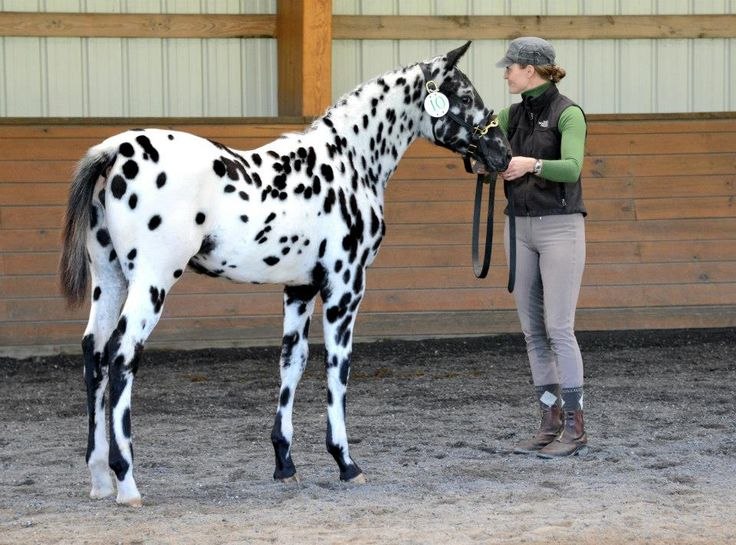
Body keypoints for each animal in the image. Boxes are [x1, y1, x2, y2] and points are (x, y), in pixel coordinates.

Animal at [60, 42, 508, 506]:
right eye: (466, 96)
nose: (502, 153)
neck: (349, 160)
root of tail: (116, 151)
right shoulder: (345, 289)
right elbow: (337, 368)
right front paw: (345, 462)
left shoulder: (299, 288)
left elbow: (292, 362)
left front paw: (284, 463)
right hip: (152, 282)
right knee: (121, 354)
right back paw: (126, 481)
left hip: (110, 280)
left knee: (94, 352)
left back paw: (99, 477)